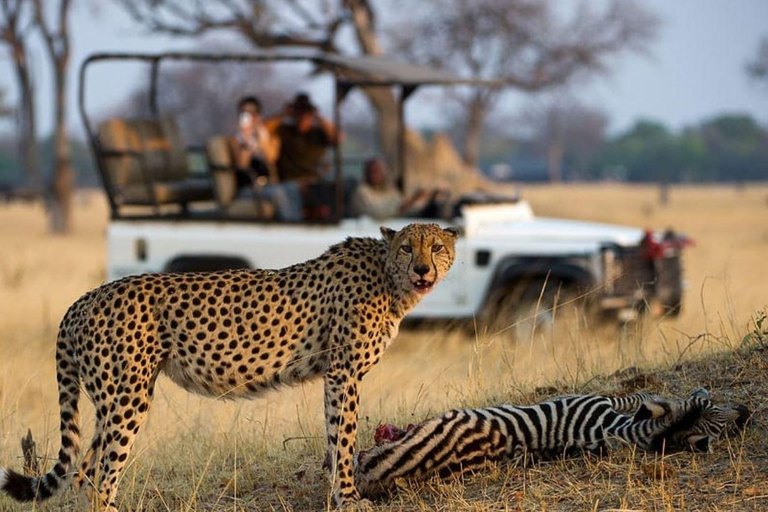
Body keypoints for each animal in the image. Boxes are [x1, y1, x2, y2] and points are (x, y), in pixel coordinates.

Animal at [0, 222, 456, 510]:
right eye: (407, 247)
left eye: (436, 247)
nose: (423, 269)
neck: (388, 276)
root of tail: (83, 298)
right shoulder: (342, 373)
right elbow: (343, 437)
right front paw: (348, 497)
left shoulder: (337, 375)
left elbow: (334, 435)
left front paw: (339, 493)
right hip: (127, 398)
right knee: (102, 475)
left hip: (113, 399)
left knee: (84, 473)